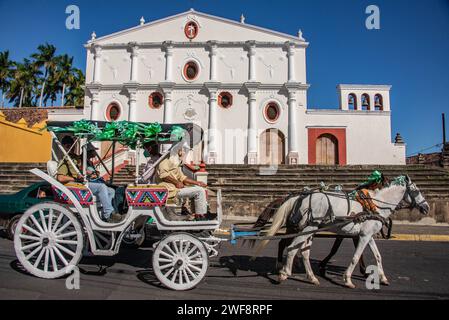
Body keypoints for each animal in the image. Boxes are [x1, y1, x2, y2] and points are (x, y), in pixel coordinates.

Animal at [252, 176, 430, 288]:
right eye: (416, 190)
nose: (426, 207)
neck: (374, 205)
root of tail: (298, 197)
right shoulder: (362, 236)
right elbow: (355, 256)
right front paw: (348, 279)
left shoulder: (367, 235)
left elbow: (378, 255)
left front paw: (383, 278)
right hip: (307, 227)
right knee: (291, 247)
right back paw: (284, 272)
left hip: (306, 228)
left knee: (301, 251)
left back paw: (310, 277)